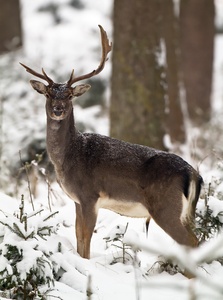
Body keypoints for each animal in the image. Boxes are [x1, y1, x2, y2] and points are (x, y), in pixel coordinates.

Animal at [20, 25, 203, 258]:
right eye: (48, 94)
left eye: (69, 95)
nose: (57, 110)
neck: (68, 158)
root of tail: (193, 174)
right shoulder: (77, 200)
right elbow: (78, 238)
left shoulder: (90, 195)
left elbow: (86, 241)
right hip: (185, 212)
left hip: (165, 207)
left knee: (192, 242)